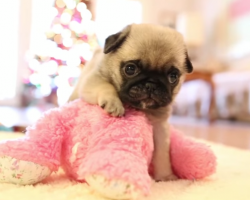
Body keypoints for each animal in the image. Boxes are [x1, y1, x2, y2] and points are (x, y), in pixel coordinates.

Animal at [68, 23, 193, 181]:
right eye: (130, 69)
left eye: (173, 77)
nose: (151, 84)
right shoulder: (92, 81)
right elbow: (106, 86)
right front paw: (113, 103)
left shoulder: (160, 128)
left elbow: (162, 155)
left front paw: (165, 176)